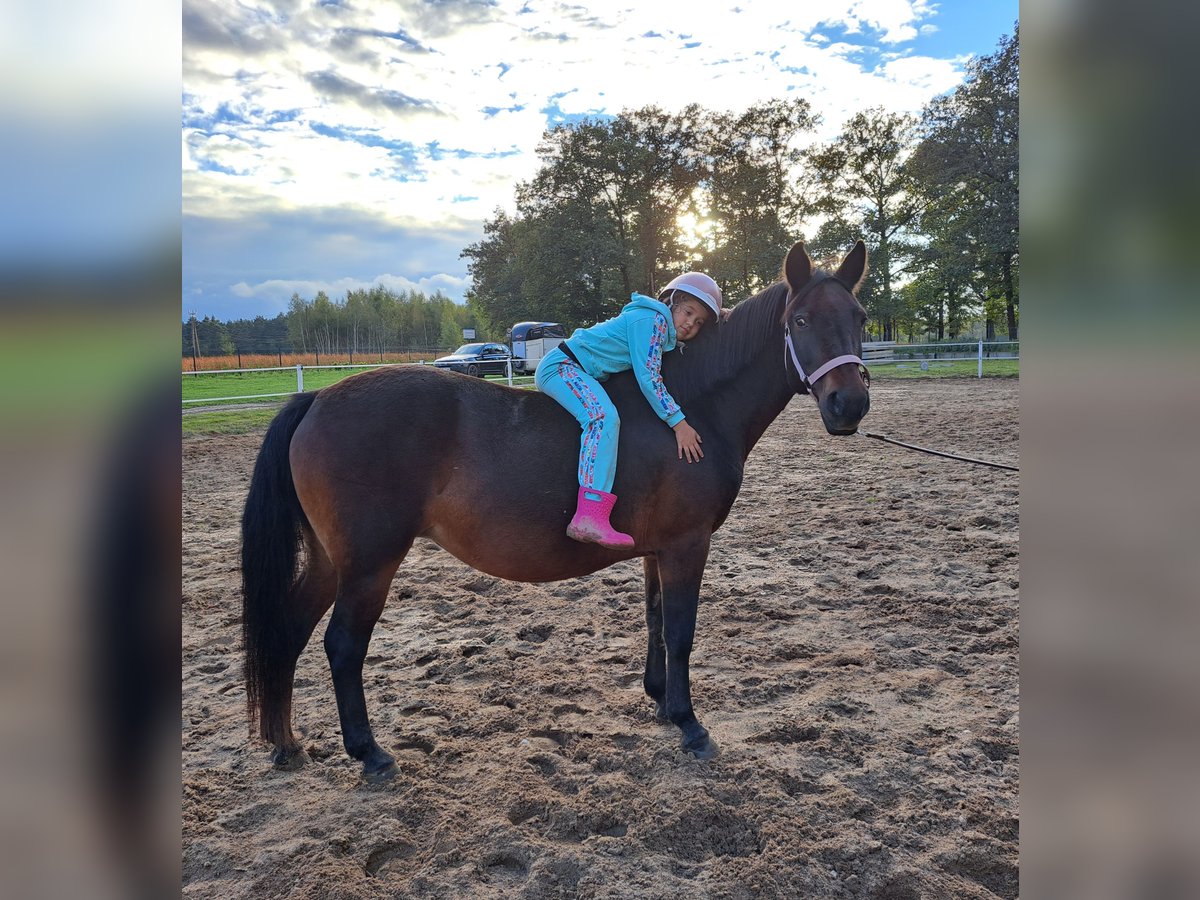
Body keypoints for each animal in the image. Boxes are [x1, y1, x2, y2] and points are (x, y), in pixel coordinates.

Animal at [241, 240, 873, 782]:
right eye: (800, 321)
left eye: (861, 317)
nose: (850, 404)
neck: (695, 405)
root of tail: (315, 399)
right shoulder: (688, 545)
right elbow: (682, 629)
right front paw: (689, 724)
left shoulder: (658, 550)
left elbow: (654, 620)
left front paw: (660, 699)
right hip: (370, 565)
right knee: (343, 646)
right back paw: (369, 753)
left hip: (333, 563)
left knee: (290, 629)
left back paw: (286, 743)